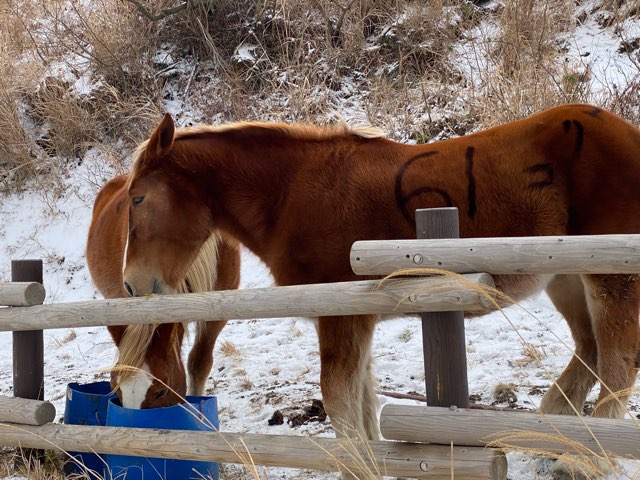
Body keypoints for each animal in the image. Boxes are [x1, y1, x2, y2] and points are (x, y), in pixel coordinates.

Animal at [119, 103, 640, 444]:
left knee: (617, 368)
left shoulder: (341, 318)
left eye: (139, 198)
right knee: (591, 353)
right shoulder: (359, 321)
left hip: (609, 278)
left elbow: (342, 408)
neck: (290, 194)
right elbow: (364, 407)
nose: (131, 283)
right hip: (565, 280)